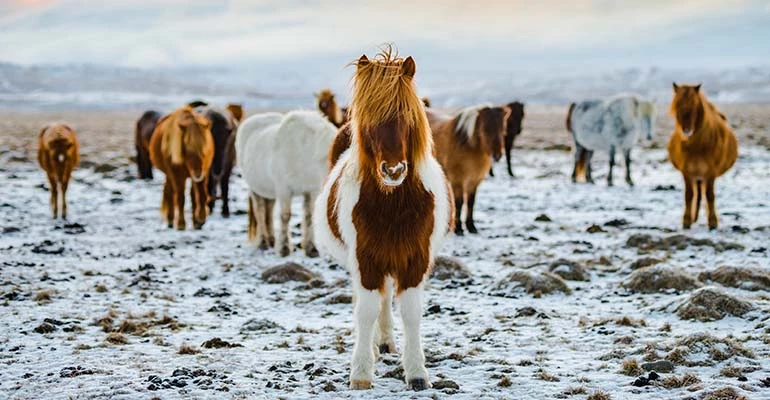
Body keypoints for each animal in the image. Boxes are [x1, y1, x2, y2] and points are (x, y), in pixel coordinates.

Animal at [231, 109, 332, 256]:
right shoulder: (284, 189)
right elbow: (285, 216)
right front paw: (284, 248)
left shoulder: (311, 190)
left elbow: (309, 216)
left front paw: (311, 248)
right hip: (255, 189)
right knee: (260, 211)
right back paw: (263, 242)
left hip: (269, 190)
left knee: (268, 211)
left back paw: (271, 240)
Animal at [316, 47, 452, 390]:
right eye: (369, 119)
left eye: (407, 116)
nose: (393, 170)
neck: (393, 206)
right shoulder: (366, 259)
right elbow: (365, 311)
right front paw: (362, 372)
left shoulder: (414, 259)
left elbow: (411, 312)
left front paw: (416, 372)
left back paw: (386, 343)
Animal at [426, 104, 510, 234]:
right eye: (485, 129)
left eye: (503, 128)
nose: (497, 155)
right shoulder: (457, 179)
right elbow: (459, 202)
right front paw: (459, 228)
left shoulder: (474, 180)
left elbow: (471, 202)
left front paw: (471, 226)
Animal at [664, 83, 736, 230]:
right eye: (677, 105)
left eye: (695, 105)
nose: (686, 130)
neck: (697, 147)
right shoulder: (687, 171)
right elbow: (688, 195)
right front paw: (686, 221)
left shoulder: (711, 172)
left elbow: (710, 195)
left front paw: (713, 222)